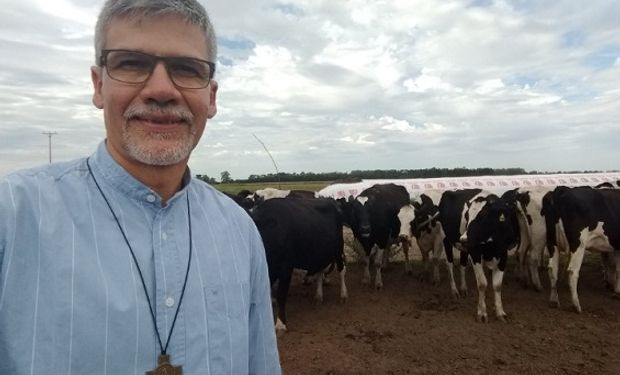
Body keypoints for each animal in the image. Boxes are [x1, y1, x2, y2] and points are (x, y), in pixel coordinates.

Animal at [252, 198, 348, 334]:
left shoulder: (286, 267)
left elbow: (281, 295)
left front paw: (281, 324)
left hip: (338, 248)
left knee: (341, 270)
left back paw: (343, 295)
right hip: (321, 251)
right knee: (320, 271)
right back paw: (318, 296)